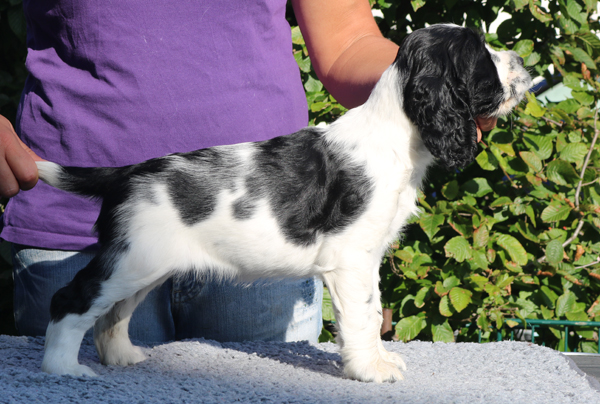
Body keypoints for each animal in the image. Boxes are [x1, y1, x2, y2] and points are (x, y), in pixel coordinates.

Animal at [35, 24, 531, 382]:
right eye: (483, 54)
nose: (523, 60)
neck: (394, 134)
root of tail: (130, 172)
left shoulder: (367, 258)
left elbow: (373, 310)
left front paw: (380, 360)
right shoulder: (351, 258)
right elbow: (363, 316)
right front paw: (371, 370)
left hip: (146, 264)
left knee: (113, 313)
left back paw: (122, 357)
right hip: (130, 260)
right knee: (72, 298)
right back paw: (63, 369)